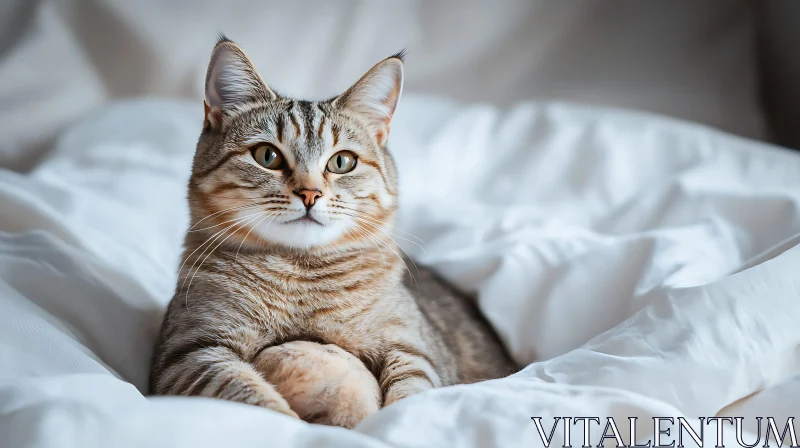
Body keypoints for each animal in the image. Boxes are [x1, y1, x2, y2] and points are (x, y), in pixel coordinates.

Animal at [149, 36, 512, 428]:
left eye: (342, 162)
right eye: (267, 156)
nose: (310, 193)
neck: (301, 274)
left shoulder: (415, 351)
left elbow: (410, 395)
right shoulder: (190, 354)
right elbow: (257, 400)